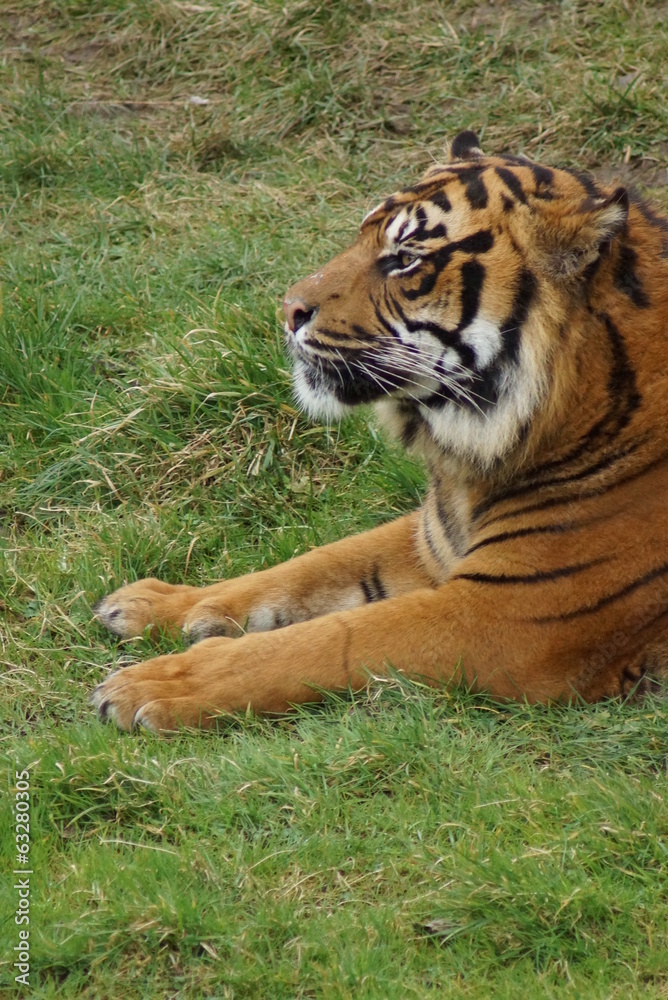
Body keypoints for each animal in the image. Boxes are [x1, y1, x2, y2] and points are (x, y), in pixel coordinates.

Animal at [92, 129, 668, 732]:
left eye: (405, 260)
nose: (286, 310)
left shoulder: (506, 615)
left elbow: (328, 639)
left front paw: (153, 682)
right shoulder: (430, 541)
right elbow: (313, 563)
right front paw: (157, 603)